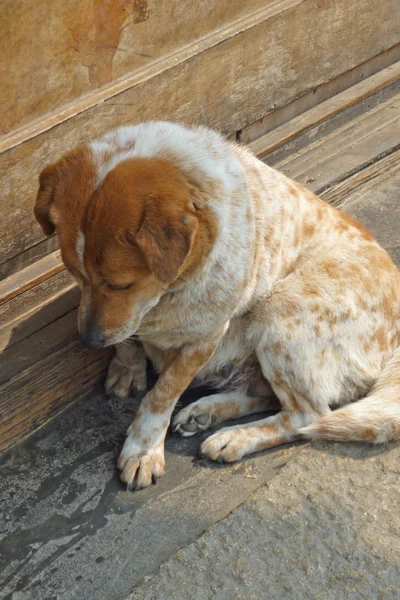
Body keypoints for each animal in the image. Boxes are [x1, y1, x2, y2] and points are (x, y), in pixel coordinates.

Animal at [33, 120, 400, 488]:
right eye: (74, 274)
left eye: (121, 284)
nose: (89, 341)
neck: (169, 293)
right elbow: (126, 336)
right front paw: (127, 366)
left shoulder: (203, 338)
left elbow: (162, 393)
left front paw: (143, 449)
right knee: (265, 395)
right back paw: (206, 413)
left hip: (279, 310)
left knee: (306, 417)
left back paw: (233, 437)